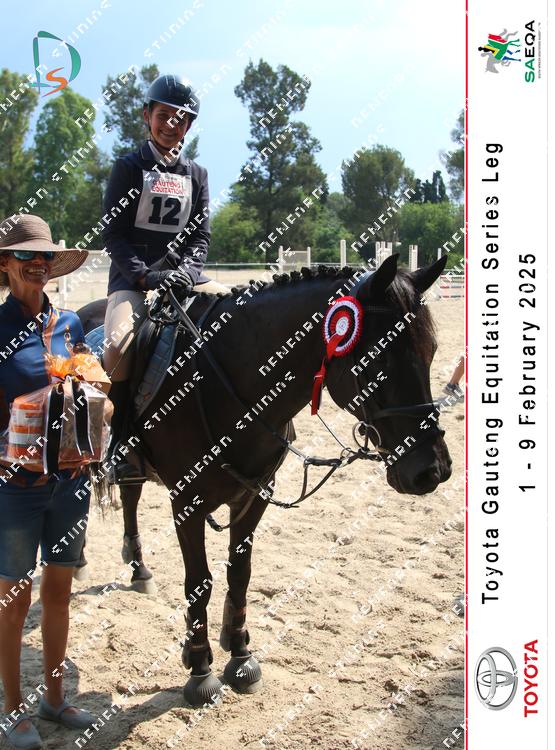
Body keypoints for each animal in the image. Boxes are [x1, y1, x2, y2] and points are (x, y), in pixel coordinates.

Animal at [76, 255, 452, 706]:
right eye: (376, 362)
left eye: (431, 353)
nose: (433, 470)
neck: (222, 384)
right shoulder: (187, 501)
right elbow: (199, 582)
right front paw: (200, 670)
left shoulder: (255, 496)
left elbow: (240, 574)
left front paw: (239, 655)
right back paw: (78, 561)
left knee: (131, 495)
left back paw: (139, 569)